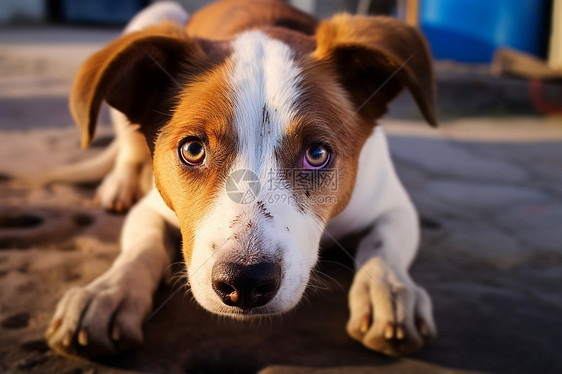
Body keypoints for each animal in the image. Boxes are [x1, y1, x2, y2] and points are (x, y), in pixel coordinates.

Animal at [43, 0, 438, 358]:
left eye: (317, 154)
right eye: (192, 149)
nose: (245, 282)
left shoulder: (394, 207)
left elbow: (383, 245)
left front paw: (389, 291)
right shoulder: (152, 208)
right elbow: (141, 246)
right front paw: (107, 291)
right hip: (156, 13)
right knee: (127, 149)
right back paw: (118, 185)